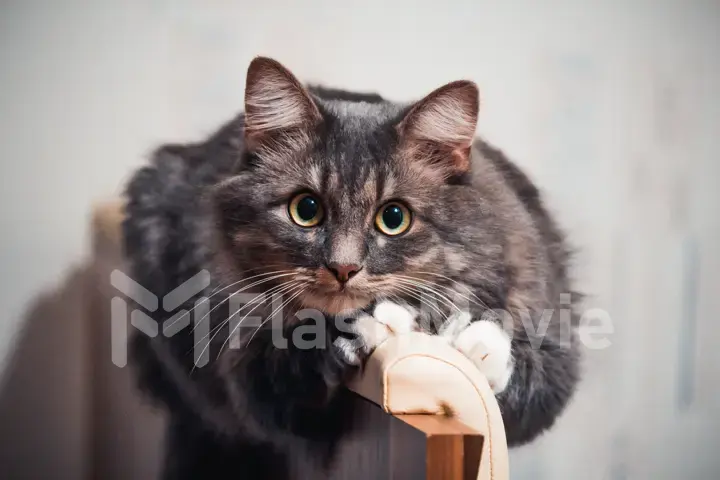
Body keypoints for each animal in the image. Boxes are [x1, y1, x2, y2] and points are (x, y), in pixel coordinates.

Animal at [124, 55, 584, 476]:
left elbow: (522, 368)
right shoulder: (241, 365)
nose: (343, 268)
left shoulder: (552, 344)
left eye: (394, 218)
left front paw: (472, 342)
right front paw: (360, 328)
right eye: (306, 210)